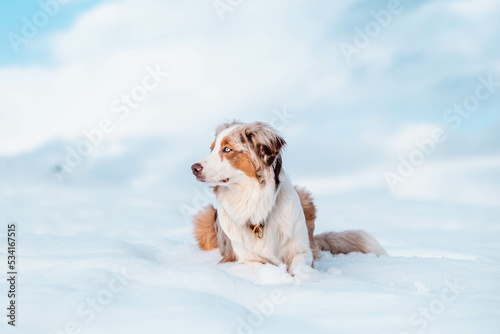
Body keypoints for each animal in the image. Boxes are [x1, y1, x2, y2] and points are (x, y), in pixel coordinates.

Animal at [191, 121, 386, 278]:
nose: (194, 168)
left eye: (227, 149)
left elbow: (300, 265)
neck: (253, 199)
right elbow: (260, 266)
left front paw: (301, 278)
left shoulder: (302, 250)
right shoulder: (241, 259)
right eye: (211, 149)